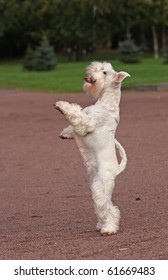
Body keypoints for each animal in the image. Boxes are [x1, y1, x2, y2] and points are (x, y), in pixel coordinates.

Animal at [53, 61, 130, 236]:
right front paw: (65, 133)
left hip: (100, 187)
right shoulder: (83, 122)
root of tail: (116, 170)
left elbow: (75, 112)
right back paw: (101, 225)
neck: (106, 104)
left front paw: (60, 105)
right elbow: (73, 124)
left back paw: (108, 229)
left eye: (105, 72)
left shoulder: (86, 123)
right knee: (101, 209)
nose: (91, 68)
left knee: (110, 208)